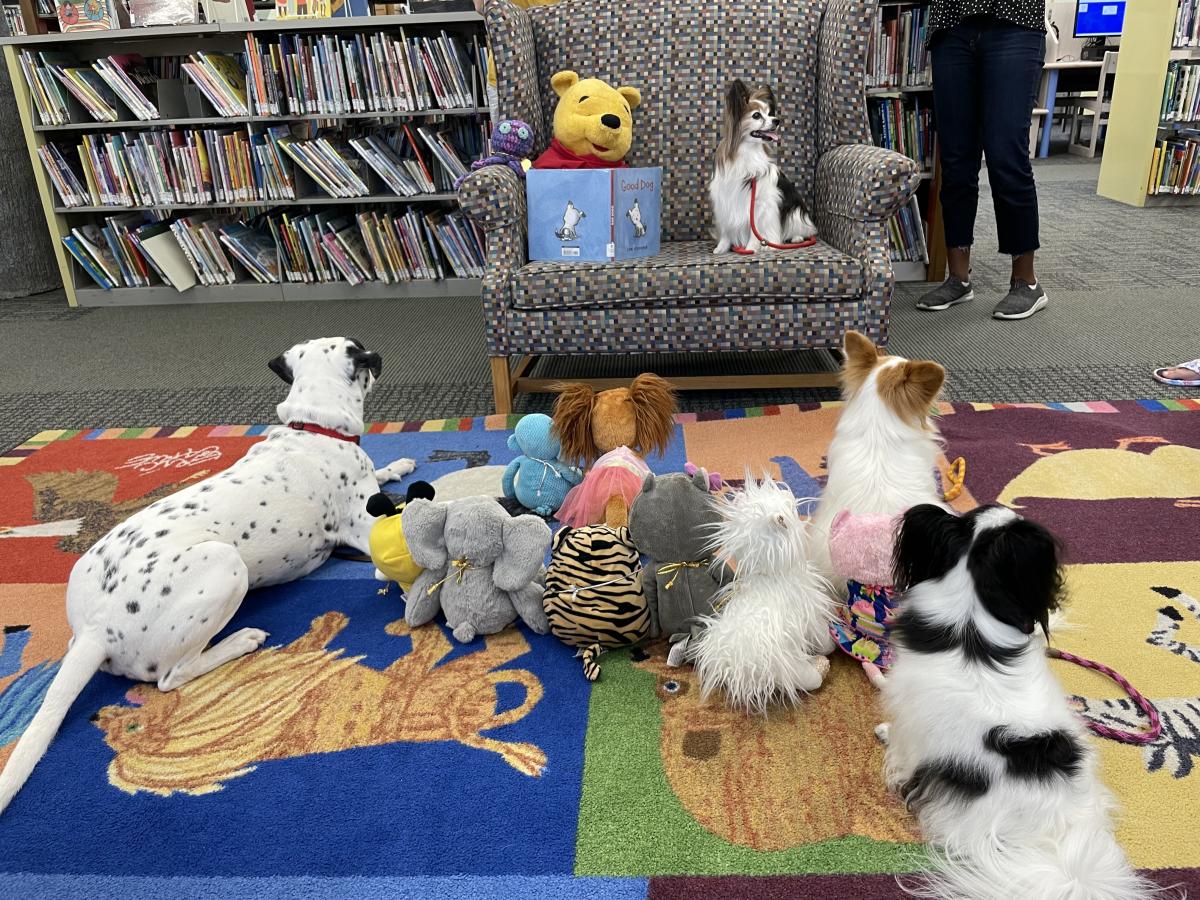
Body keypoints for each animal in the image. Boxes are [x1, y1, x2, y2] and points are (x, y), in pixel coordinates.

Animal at [0, 338, 417, 816]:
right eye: (361, 351)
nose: (376, 355)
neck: (313, 427)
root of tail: (95, 631)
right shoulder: (363, 527)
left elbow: (384, 477)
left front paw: (398, 463)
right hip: (226, 566)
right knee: (171, 677)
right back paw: (240, 641)